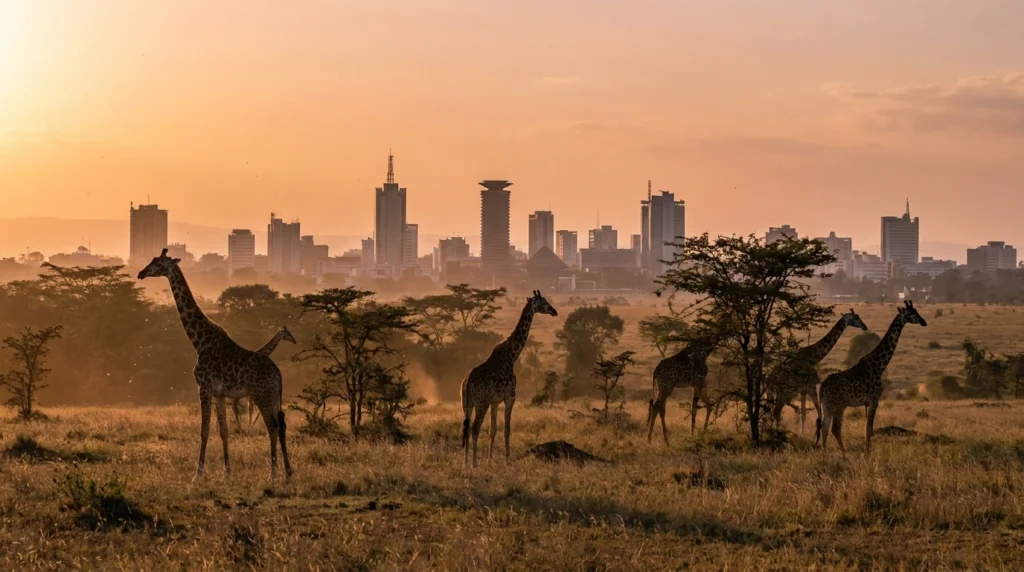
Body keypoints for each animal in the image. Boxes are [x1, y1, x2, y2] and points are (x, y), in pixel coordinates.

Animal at [137, 249, 292, 480]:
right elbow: (224, 431)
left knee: (271, 426)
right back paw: (289, 472)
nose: (141, 273)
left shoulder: (204, 387)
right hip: (273, 395)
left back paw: (273, 474)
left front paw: (198, 473)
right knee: (280, 424)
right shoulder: (219, 393)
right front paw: (227, 472)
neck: (200, 342)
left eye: (158, 263)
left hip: (260, 394)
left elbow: (205, 430)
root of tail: (278, 374)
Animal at [461, 290, 557, 467]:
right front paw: (507, 459)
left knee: (466, 427)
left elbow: (493, 430)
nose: (555, 311)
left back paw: (465, 462)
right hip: (481, 403)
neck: (512, 356)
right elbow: (507, 430)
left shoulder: (494, 402)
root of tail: (467, 382)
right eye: (543, 303)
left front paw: (490, 459)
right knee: (474, 428)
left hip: (466, 404)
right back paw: (474, 463)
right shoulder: (510, 397)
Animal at [817, 300, 927, 454]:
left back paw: (825, 454)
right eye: (911, 313)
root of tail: (822, 388)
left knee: (825, 427)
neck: (880, 365)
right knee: (835, 429)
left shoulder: (867, 402)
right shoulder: (875, 398)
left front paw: (867, 451)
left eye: (916, 311)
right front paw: (867, 454)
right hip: (839, 405)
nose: (924, 322)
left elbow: (867, 428)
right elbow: (869, 428)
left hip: (826, 405)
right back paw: (844, 455)